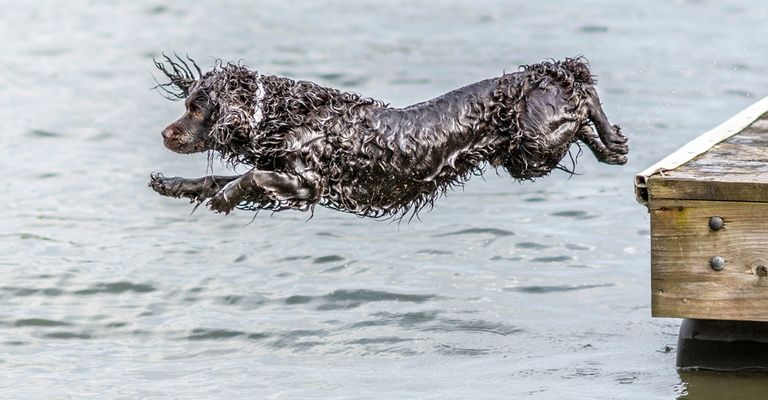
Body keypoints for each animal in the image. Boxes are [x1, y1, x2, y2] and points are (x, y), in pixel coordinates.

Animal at [150, 55, 632, 219]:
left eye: (196, 108)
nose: (164, 133)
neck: (279, 113)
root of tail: (537, 78)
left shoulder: (305, 184)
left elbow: (247, 177)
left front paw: (224, 198)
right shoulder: (282, 179)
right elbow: (214, 179)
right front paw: (171, 185)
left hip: (535, 147)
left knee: (582, 90)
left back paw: (613, 141)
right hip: (531, 152)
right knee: (579, 95)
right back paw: (612, 147)